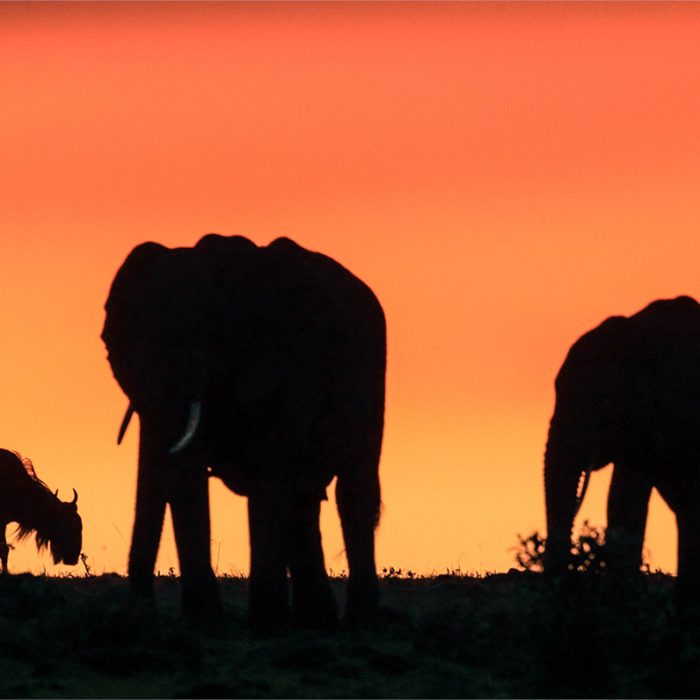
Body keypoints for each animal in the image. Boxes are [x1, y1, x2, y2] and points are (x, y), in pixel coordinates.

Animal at [101, 234, 386, 628]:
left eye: (213, 340)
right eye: (116, 347)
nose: (140, 610)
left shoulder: (287, 361)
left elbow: (269, 469)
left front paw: (261, 627)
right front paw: (209, 624)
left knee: (352, 489)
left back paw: (356, 622)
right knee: (304, 495)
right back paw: (317, 622)